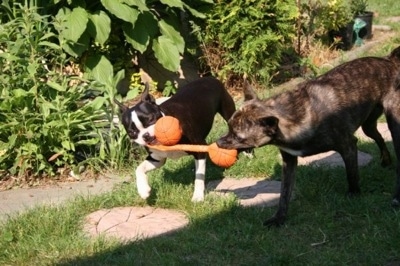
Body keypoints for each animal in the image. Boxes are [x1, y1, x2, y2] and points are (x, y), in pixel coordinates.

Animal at [217, 45, 400, 227]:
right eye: (229, 126)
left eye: (238, 136)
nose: (218, 142)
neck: (292, 118)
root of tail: (388, 61)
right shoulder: (289, 162)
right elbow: (284, 193)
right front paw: (279, 217)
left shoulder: (348, 146)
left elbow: (352, 173)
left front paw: (354, 194)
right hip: (368, 126)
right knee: (379, 137)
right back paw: (386, 160)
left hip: (394, 123)